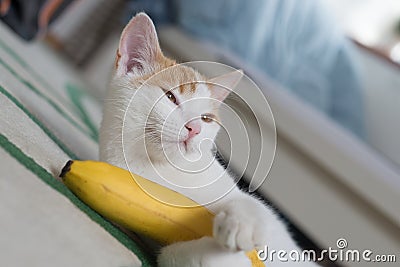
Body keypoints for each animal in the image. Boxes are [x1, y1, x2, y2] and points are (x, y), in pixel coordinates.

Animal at [100, 11, 318, 266]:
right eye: (170, 97)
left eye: (206, 118)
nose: (194, 128)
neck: (159, 171)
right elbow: (173, 254)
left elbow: (253, 205)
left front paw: (241, 224)